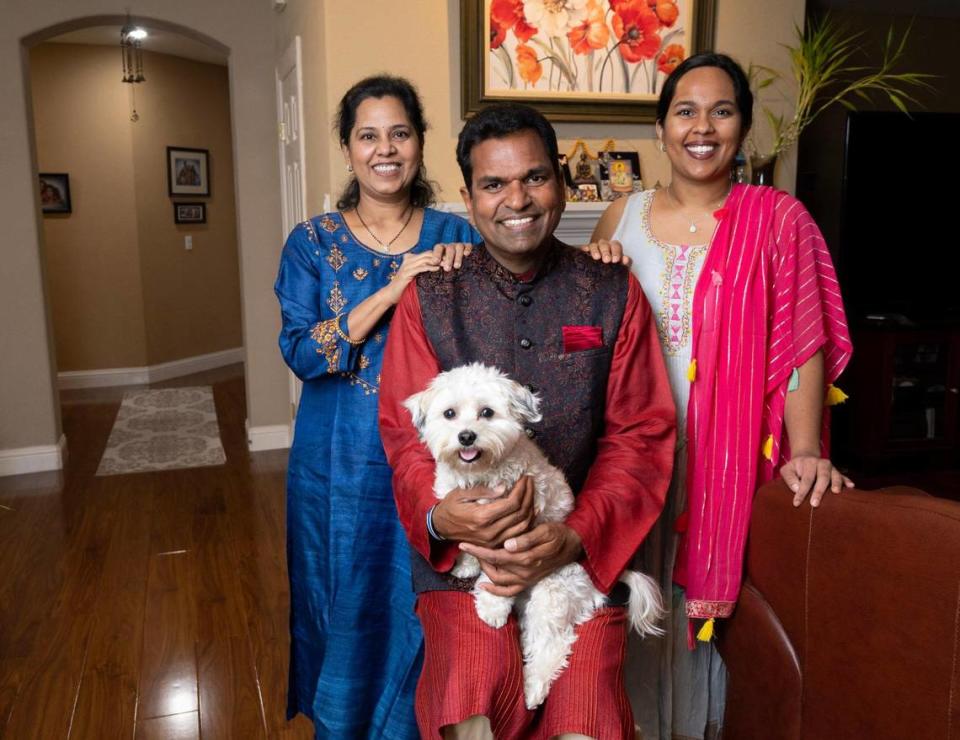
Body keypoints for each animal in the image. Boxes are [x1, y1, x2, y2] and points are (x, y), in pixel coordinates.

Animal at [402, 362, 664, 708]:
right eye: (449, 414)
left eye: (487, 412)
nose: (466, 436)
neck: (480, 474)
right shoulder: (463, 514)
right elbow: (467, 545)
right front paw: (466, 565)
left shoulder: (512, 531)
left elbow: (498, 577)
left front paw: (492, 607)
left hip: (552, 593)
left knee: (555, 644)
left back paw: (532, 688)